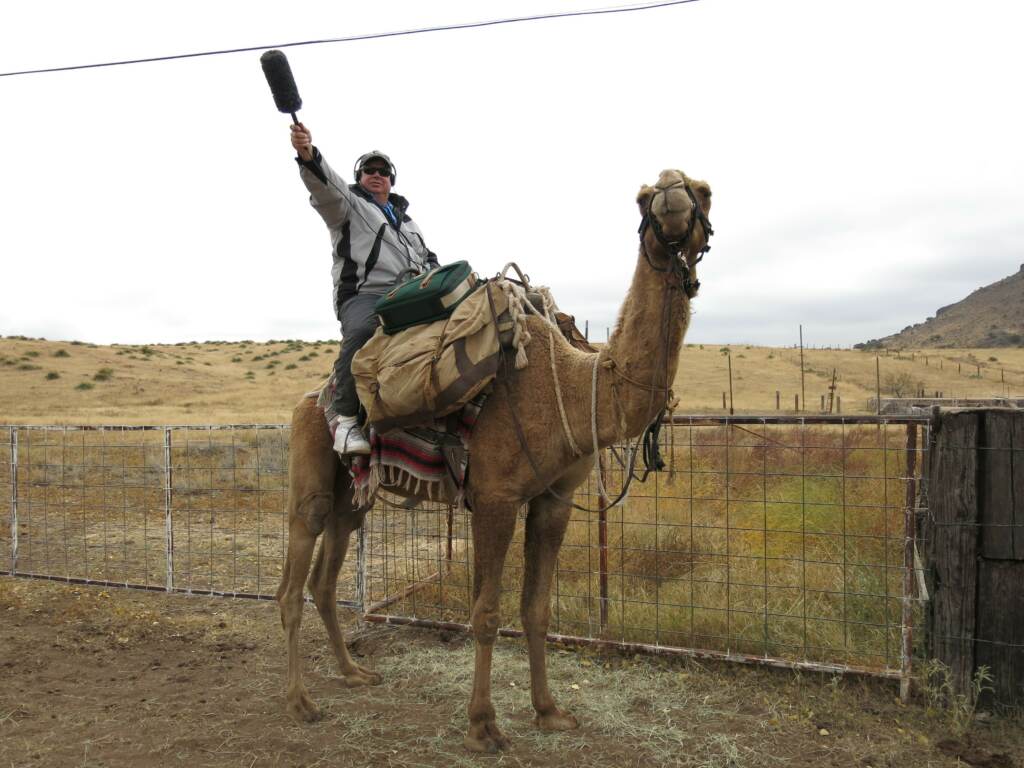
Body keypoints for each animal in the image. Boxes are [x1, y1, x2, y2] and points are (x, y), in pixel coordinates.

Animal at [276, 167, 716, 753]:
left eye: (704, 191)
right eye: (643, 199)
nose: (670, 192)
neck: (576, 387)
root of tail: (312, 399)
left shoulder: (554, 499)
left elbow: (537, 608)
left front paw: (550, 711)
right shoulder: (495, 497)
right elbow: (486, 612)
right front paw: (484, 725)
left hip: (354, 498)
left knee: (324, 582)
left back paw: (353, 672)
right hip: (311, 476)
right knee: (292, 583)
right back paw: (301, 702)